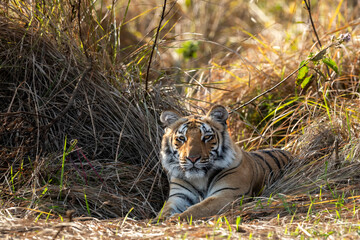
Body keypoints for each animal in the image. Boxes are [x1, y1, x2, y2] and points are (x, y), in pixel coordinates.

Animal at [155, 104, 292, 220]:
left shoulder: (228, 193)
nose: (192, 158)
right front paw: (157, 221)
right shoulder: (178, 196)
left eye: (207, 137)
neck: (200, 179)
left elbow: (199, 208)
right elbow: (164, 211)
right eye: (181, 138)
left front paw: (175, 219)